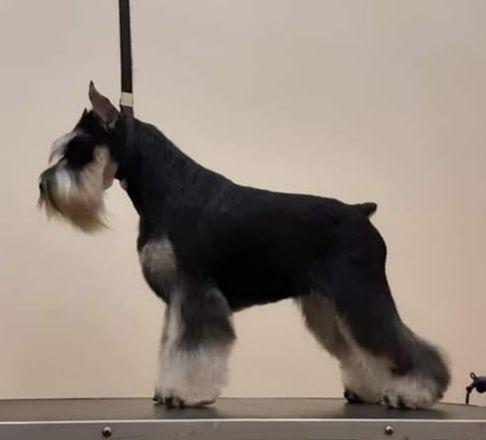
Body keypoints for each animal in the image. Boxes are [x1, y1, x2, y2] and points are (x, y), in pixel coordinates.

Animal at [38, 82, 450, 409]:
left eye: (79, 150)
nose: (43, 185)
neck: (166, 189)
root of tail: (360, 211)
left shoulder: (197, 292)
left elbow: (193, 349)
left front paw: (184, 394)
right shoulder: (178, 299)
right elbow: (172, 345)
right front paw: (165, 388)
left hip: (360, 294)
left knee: (399, 344)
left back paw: (413, 394)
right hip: (327, 305)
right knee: (357, 348)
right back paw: (369, 390)